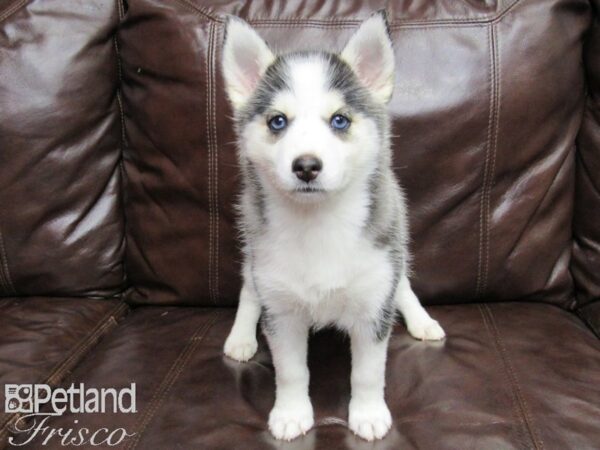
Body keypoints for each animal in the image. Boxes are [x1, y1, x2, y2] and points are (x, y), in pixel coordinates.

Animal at [221, 11, 446, 442]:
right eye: (278, 121)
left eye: (339, 120)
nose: (306, 166)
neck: (318, 223)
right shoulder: (281, 311)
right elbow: (291, 370)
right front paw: (291, 413)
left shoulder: (374, 303)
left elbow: (368, 372)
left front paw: (369, 413)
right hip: (254, 250)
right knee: (248, 289)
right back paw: (240, 337)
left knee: (404, 285)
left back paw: (422, 320)